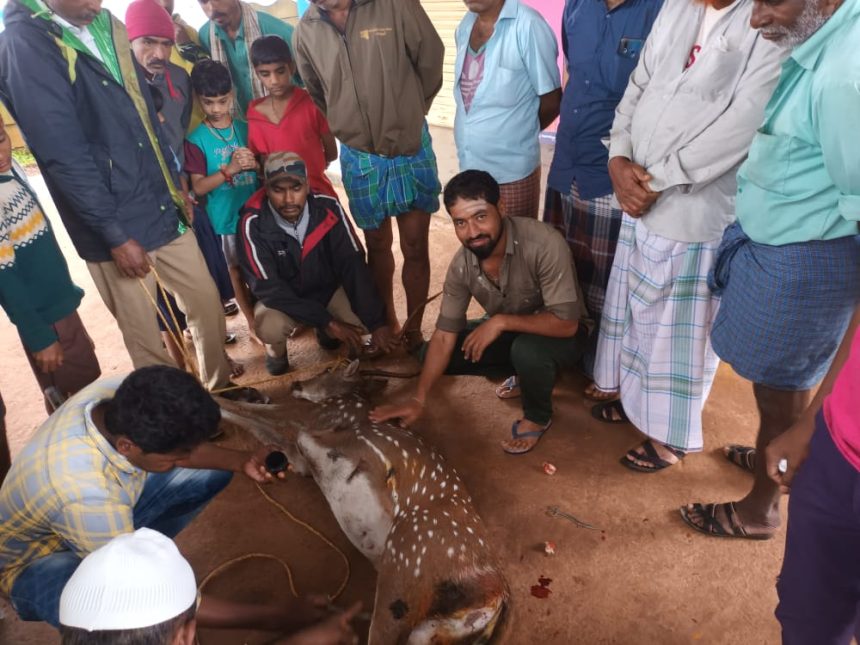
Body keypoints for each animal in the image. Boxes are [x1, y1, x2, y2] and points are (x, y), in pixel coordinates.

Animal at [218, 362, 510, 644]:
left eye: (328, 369)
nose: (296, 383)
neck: (354, 403)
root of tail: (497, 598)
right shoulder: (302, 460)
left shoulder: (319, 414)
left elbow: (254, 411)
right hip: (425, 628)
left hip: (407, 562)